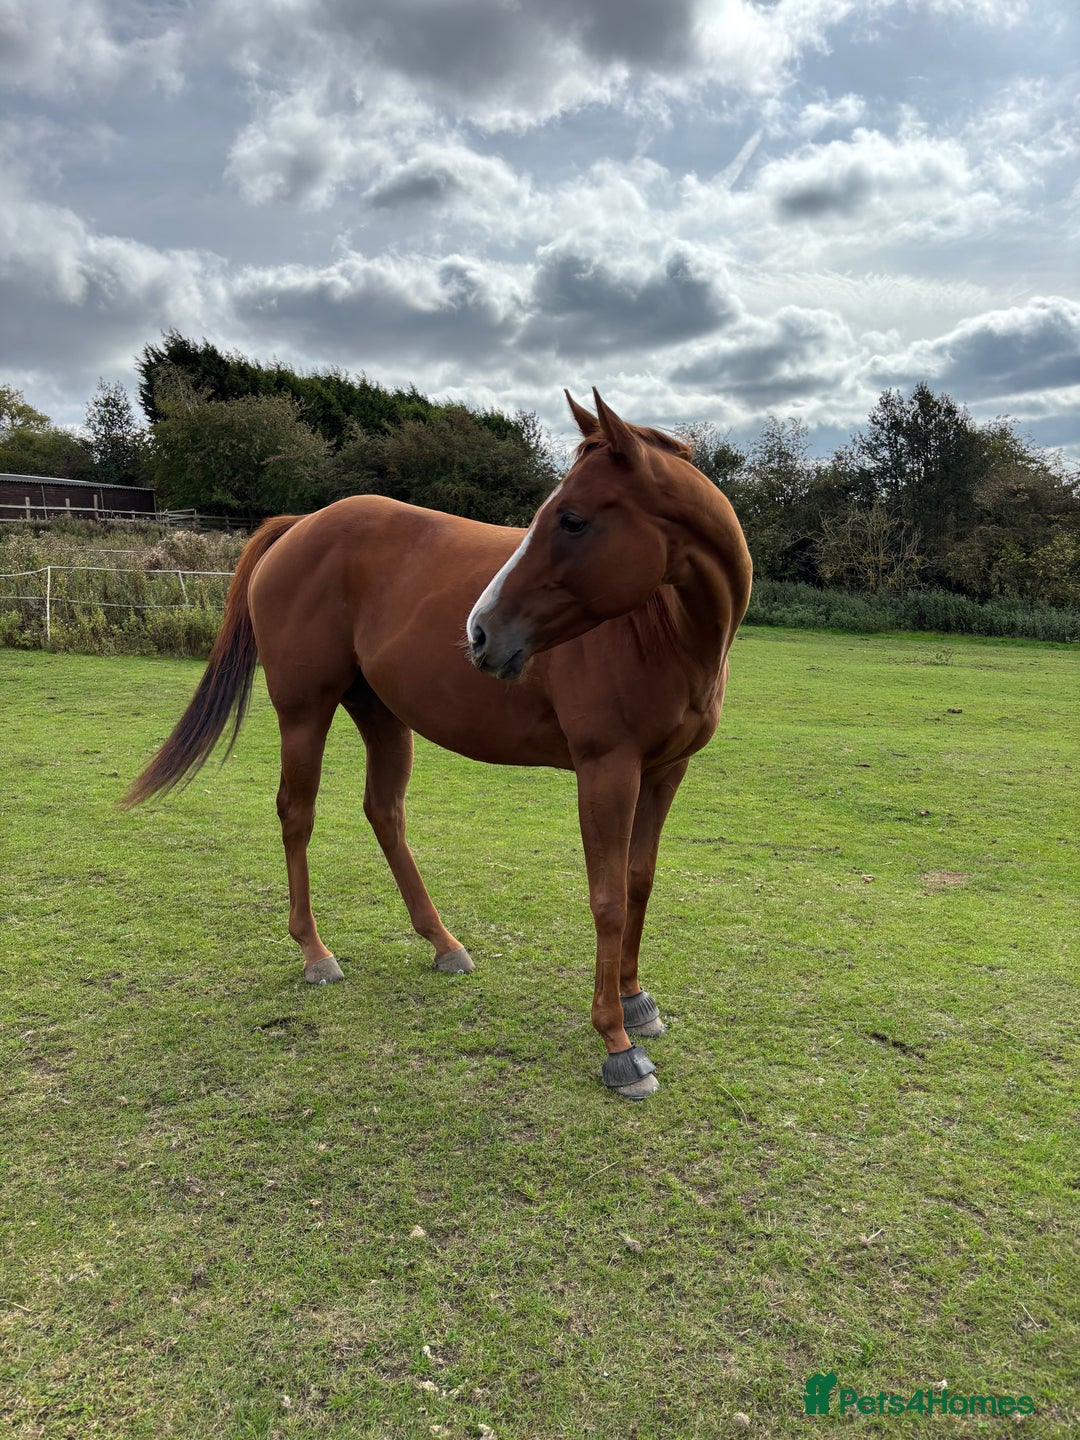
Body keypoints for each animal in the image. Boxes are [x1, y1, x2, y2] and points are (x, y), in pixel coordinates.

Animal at [125, 391, 752, 1098]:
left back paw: (442, 942)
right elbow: (609, 898)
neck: (667, 632)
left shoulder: (666, 771)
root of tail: (301, 525)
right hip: (304, 712)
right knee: (297, 814)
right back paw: (315, 952)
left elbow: (640, 883)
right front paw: (617, 1043)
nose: (480, 633)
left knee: (384, 813)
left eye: (571, 519)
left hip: (382, 715)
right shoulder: (607, 771)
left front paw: (636, 1001)